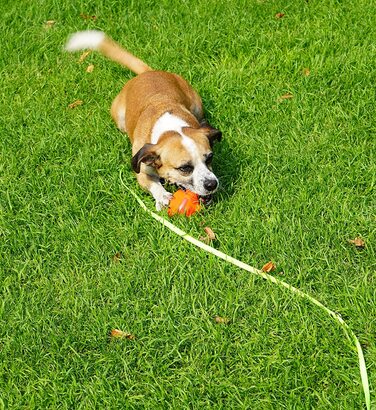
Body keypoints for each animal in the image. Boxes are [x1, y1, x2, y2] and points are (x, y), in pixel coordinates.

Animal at [66, 31, 222, 210]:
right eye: (185, 168)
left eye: (209, 158)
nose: (212, 184)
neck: (170, 128)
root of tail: (146, 72)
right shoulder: (142, 170)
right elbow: (153, 184)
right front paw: (162, 197)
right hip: (120, 118)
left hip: (196, 104)